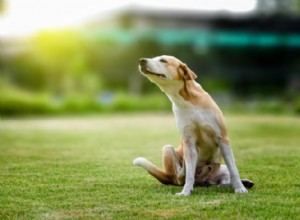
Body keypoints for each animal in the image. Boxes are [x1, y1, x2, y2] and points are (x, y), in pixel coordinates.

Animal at [134, 55, 253, 196]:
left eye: (163, 60)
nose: (141, 60)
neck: (186, 100)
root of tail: (204, 181)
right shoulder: (189, 142)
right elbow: (189, 175)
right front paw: (185, 192)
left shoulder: (223, 139)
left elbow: (234, 169)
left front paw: (240, 188)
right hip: (168, 149)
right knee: (180, 177)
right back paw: (184, 172)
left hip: (220, 168)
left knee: (221, 183)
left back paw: (243, 183)